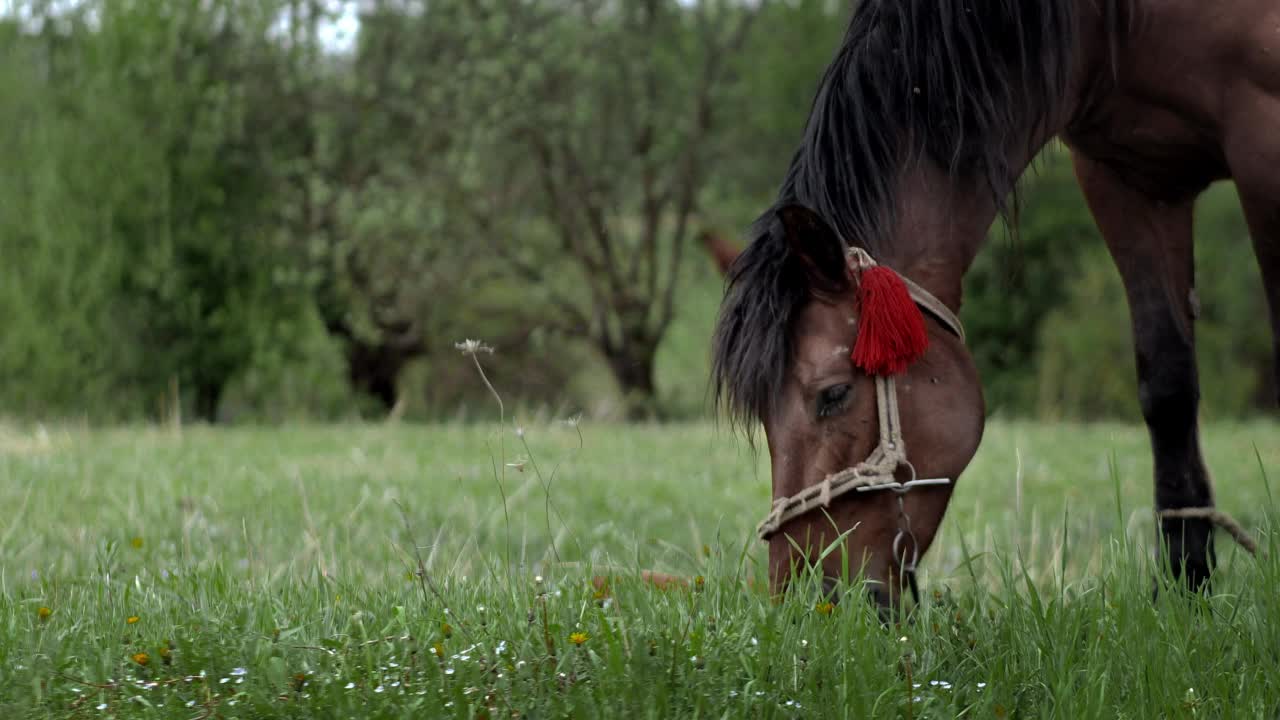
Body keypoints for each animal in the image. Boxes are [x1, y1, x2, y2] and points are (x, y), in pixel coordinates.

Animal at [711, 0, 1280, 609]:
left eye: (833, 395)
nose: (803, 598)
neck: (1115, 23)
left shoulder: (1262, 142)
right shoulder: (1126, 179)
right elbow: (1167, 384)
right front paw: (1183, 581)